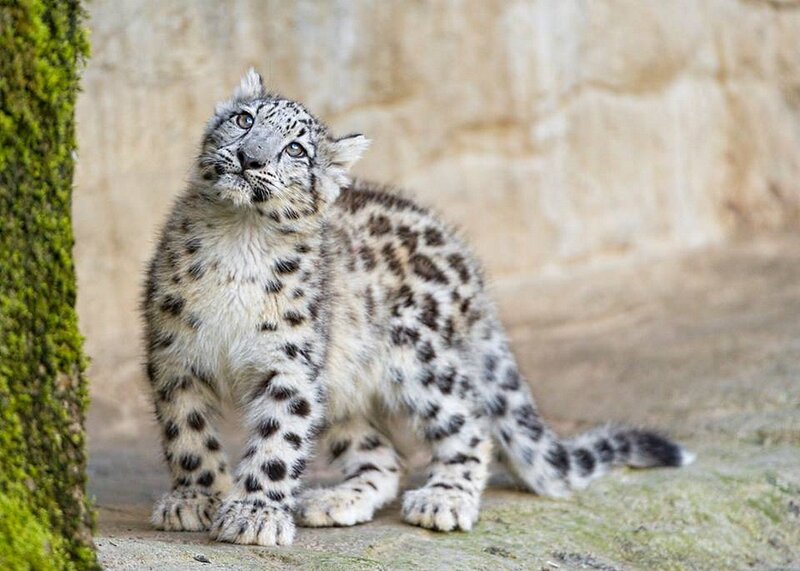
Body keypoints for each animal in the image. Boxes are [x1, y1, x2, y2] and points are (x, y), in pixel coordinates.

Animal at [141, 69, 694, 546]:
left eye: (296, 149)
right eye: (244, 119)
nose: (249, 156)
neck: (239, 240)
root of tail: (470, 265)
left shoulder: (291, 364)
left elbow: (279, 439)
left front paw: (255, 515)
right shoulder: (175, 353)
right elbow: (188, 433)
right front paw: (195, 500)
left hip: (419, 356)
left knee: (469, 424)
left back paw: (443, 500)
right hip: (343, 384)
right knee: (384, 457)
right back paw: (333, 501)